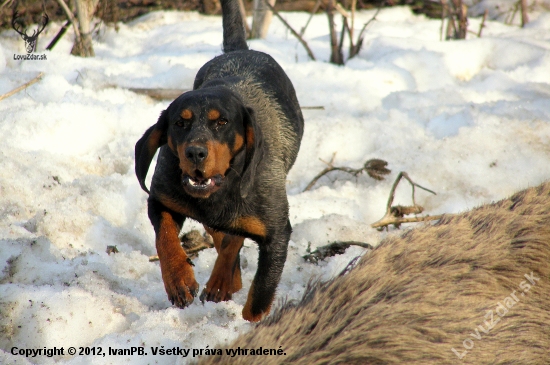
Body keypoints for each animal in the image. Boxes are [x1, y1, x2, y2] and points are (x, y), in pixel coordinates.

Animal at [135, 0, 304, 320]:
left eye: (222, 122)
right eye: (180, 123)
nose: (195, 152)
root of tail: (239, 50)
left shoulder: (277, 234)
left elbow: (260, 295)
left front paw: (251, 324)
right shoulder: (162, 200)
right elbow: (165, 238)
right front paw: (178, 280)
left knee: (230, 238)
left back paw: (223, 281)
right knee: (220, 234)